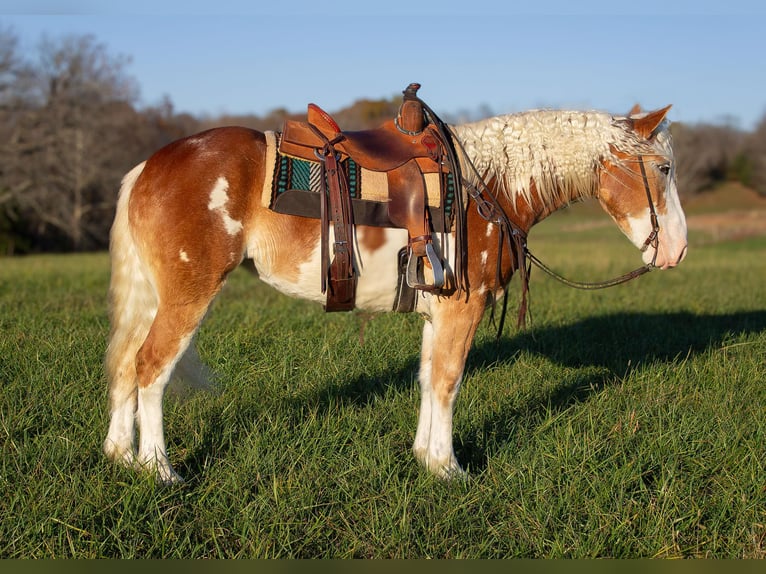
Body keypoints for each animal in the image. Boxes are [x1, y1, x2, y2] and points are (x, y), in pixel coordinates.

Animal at [104, 101, 688, 484]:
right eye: (663, 168)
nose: (678, 250)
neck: (487, 185)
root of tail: (147, 166)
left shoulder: (439, 312)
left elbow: (429, 380)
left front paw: (426, 459)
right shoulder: (463, 309)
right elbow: (448, 382)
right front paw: (450, 470)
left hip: (156, 299)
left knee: (127, 363)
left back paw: (120, 455)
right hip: (188, 296)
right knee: (152, 367)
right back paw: (159, 469)